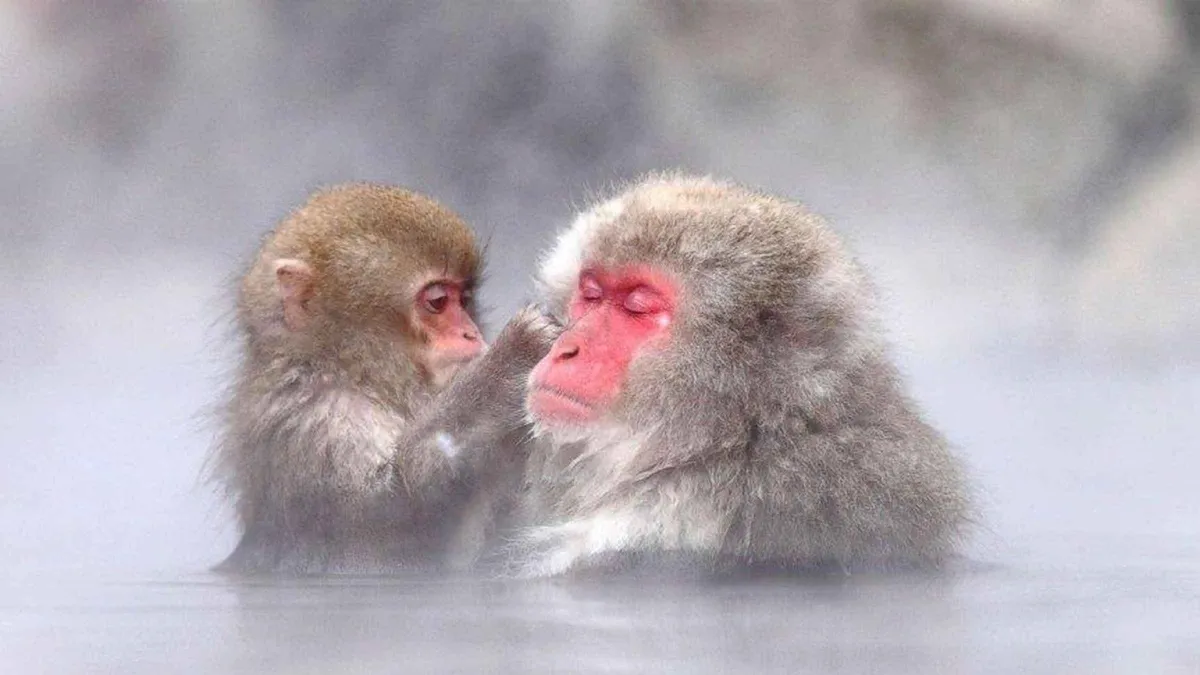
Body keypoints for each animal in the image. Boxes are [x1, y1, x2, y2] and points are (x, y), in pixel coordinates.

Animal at [208, 183, 493, 574]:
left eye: (464, 300)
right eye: (437, 301)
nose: (472, 333)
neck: (353, 374)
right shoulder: (319, 421)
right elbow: (393, 517)